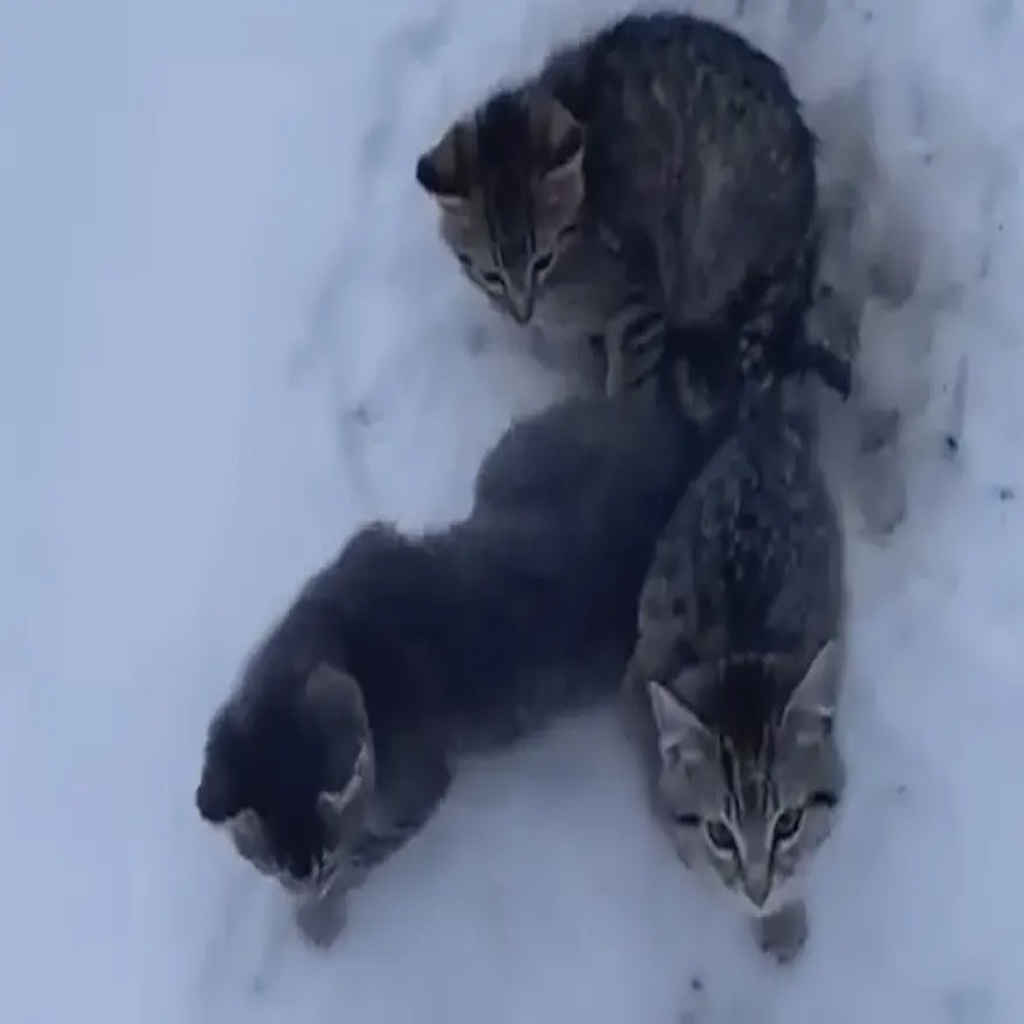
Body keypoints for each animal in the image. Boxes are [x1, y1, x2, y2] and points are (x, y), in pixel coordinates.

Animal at [195, 389, 724, 942]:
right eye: (274, 865)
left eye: (314, 866)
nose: (302, 880)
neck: (342, 638)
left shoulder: (418, 793)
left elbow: (364, 856)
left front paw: (322, 915)